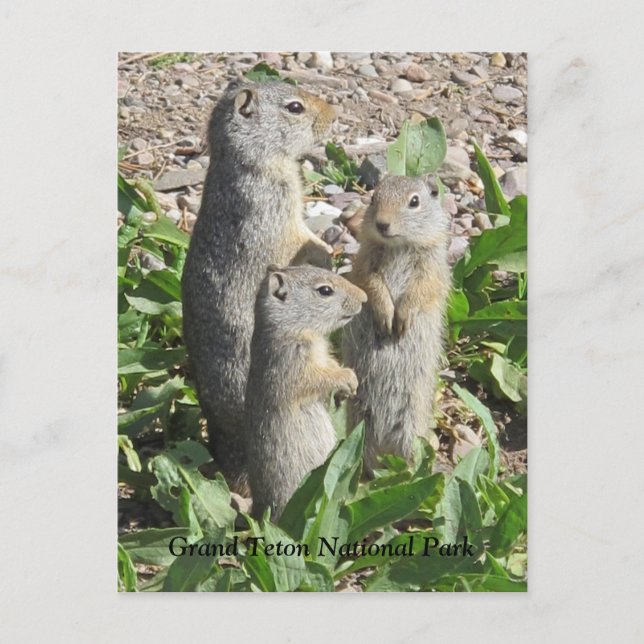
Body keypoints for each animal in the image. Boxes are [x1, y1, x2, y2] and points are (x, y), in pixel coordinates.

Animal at [245, 265, 366, 519]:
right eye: (325, 290)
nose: (365, 298)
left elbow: (330, 364)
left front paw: (350, 385)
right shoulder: (292, 362)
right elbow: (318, 378)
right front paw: (347, 378)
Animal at [342, 175, 451, 473]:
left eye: (414, 201)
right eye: (374, 197)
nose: (381, 223)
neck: (398, 246)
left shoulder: (431, 268)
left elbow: (420, 290)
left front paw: (401, 320)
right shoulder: (364, 264)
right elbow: (372, 284)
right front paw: (385, 317)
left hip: (411, 423)